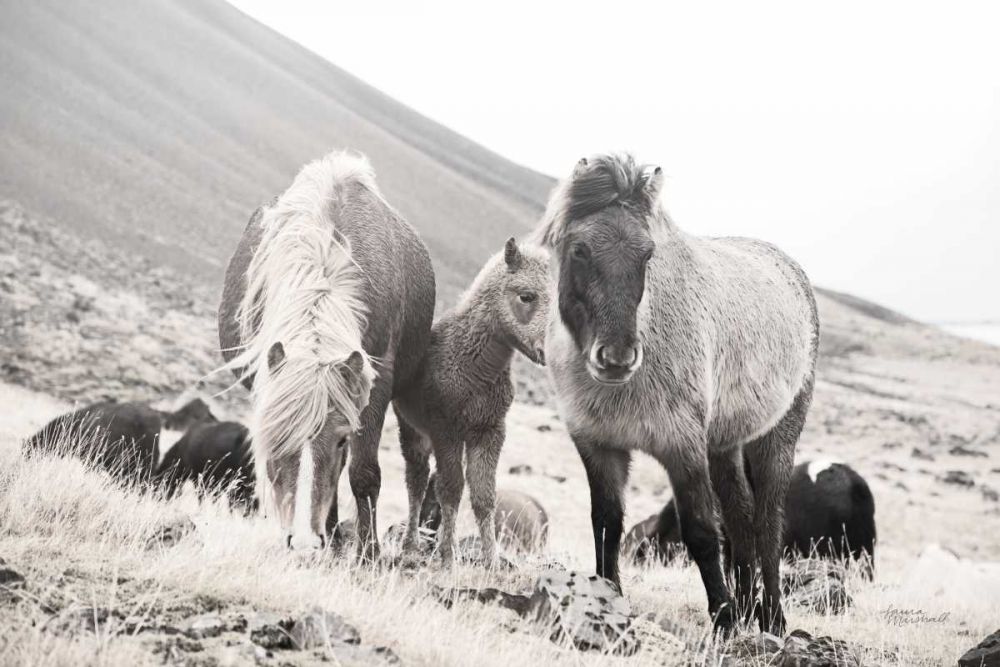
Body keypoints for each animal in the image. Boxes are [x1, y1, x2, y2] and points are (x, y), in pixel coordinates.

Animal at [218, 150, 435, 554]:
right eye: (275, 436)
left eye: (339, 438)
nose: (303, 541)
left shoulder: (375, 386)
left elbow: (363, 472)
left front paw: (369, 552)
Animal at [392, 238, 549, 565]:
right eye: (526, 296)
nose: (545, 352)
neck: (475, 367)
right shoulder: (446, 430)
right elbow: (451, 490)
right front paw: (448, 557)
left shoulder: (489, 433)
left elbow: (483, 497)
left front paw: (492, 561)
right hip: (413, 431)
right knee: (417, 481)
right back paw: (411, 545)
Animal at [534, 153, 819, 635]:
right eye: (580, 250)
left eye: (647, 253)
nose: (617, 358)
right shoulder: (599, 446)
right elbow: (606, 524)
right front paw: (607, 600)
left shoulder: (681, 446)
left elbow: (701, 532)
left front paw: (723, 621)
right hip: (724, 444)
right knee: (741, 517)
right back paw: (749, 608)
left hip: (775, 440)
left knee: (767, 523)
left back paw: (772, 619)